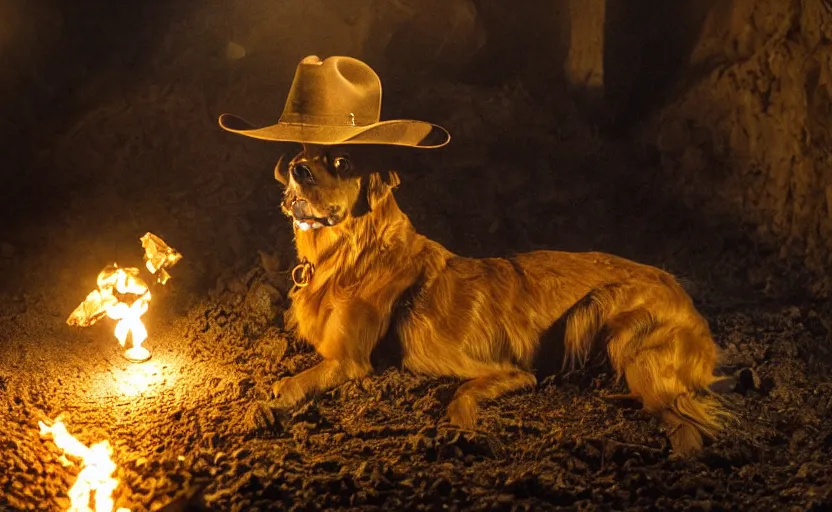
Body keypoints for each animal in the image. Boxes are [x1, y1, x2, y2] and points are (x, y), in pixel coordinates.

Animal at [221, 55, 736, 456]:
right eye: (300, 153)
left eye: (343, 161)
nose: (297, 171)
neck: (351, 253)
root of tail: (687, 298)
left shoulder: (353, 363)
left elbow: (301, 381)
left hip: (611, 324)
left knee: (689, 428)